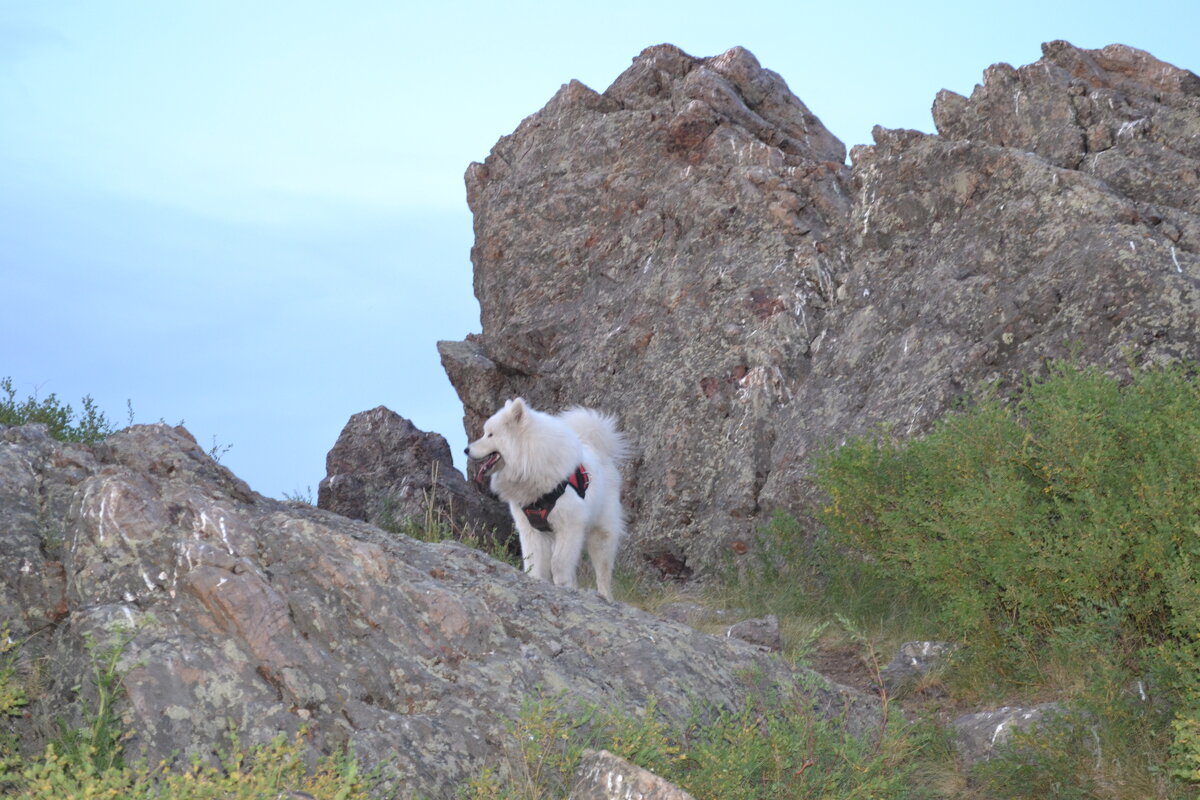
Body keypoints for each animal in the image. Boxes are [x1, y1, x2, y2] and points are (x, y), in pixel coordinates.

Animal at [463, 400, 628, 599]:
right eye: (485, 433)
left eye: (490, 434)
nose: (466, 450)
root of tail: (598, 451)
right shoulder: (531, 529)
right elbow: (534, 562)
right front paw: (537, 582)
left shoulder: (570, 525)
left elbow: (559, 563)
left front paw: (563, 586)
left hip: (601, 534)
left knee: (603, 572)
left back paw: (605, 597)